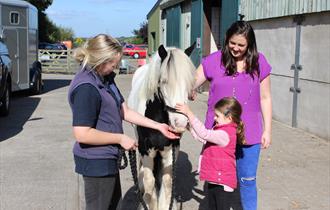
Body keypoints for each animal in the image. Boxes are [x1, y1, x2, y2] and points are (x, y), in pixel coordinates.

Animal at [127, 44, 195, 210]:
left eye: (189, 83)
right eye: (164, 81)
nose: (180, 123)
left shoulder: (171, 149)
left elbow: (167, 180)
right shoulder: (145, 149)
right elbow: (149, 181)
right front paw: (148, 203)